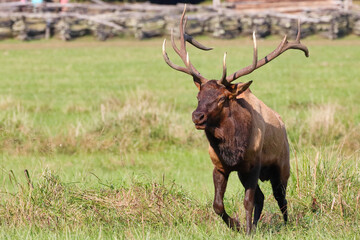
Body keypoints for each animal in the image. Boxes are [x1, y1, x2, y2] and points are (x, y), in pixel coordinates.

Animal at [162, 5, 308, 234]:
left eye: (222, 99)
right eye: (198, 96)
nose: (197, 116)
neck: (232, 149)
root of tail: (282, 124)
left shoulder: (253, 165)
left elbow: (248, 201)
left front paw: (246, 230)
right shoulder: (220, 166)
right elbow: (218, 204)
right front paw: (238, 226)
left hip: (282, 165)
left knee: (281, 197)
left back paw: (285, 224)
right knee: (262, 197)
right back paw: (255, 225)